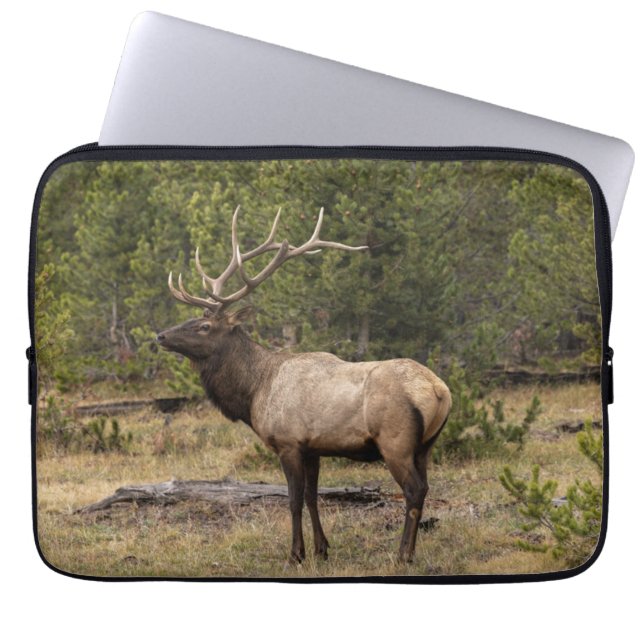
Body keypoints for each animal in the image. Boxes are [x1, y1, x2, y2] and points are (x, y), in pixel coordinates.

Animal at [156, 206, 452, 564]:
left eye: (204, 326)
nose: (161, 335)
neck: (254, 392)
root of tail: (439, 390)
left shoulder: (288, 443)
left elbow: (294, 499)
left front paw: (296, 553)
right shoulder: (313, 448)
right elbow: (313, 496)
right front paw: (322, 549)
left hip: (396, 441)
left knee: (413, 490)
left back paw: (403, 554)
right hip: (426, 445)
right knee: (425, 487)